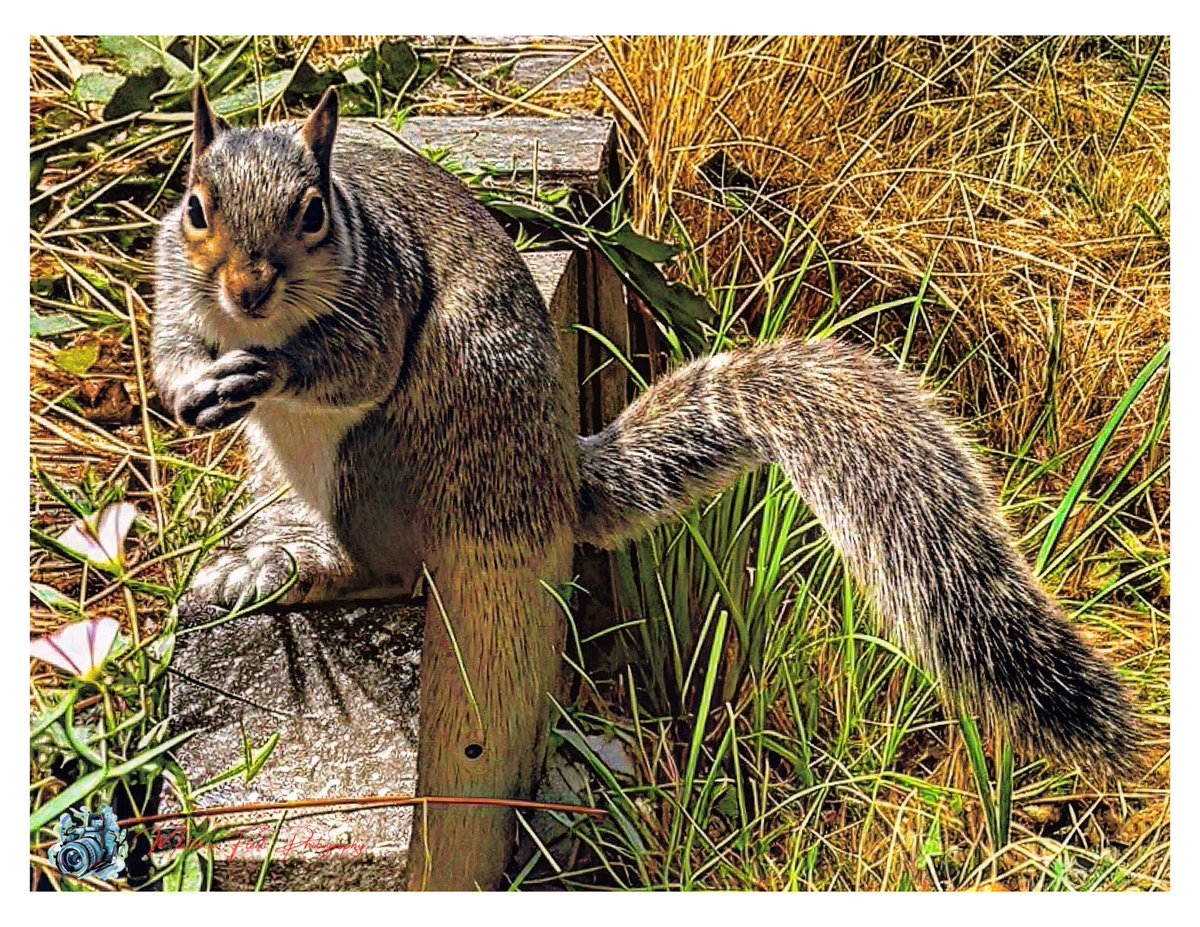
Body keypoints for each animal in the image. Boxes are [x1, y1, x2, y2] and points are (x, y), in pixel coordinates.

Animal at [153, 87, 1141, 889]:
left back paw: (302, 570)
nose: (246, 289)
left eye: (313, 213)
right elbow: (169, 349)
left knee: (389, 563)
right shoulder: (175, 283)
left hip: (403, 455)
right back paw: (262, 555)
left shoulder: (380, 298)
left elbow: (351, 362)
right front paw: (192, 386)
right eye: (193, 204)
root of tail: (553, 482)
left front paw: (277, 366)